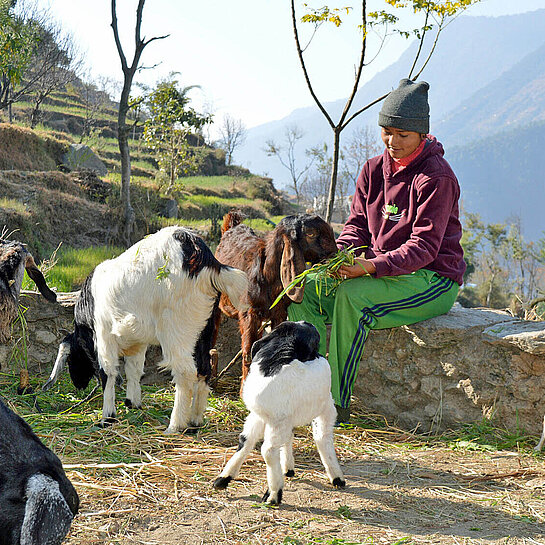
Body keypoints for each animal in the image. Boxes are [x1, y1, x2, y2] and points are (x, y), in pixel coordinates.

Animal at [43, 224, 248, 430]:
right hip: (206, 329)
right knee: (204, 368)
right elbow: (134, 370)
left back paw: (175, 426)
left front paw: (107, 417)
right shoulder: (138, 342)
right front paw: (133, 403)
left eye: (71, 359)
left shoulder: (104, 336)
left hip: (176, 327)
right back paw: (195, 420)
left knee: (185, 372)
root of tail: (203, 258)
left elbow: (107, 372)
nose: (78, 384)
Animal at [212, 210, 336, 384]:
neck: (266, 275)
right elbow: (247, 353)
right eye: (311, 233)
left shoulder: (279, 312)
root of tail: (231, 227)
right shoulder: (248, 313)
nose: (336, 254)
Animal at [212, 320, 344, 504]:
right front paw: (223, 479)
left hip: (323, 408)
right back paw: (289, 468)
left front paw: (274, 494)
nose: (308, 323)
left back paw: (336, 476)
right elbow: (245, 441)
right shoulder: (260, 416)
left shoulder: (277, 420)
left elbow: (267, 451)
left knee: (321, 437)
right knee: (295, 437)